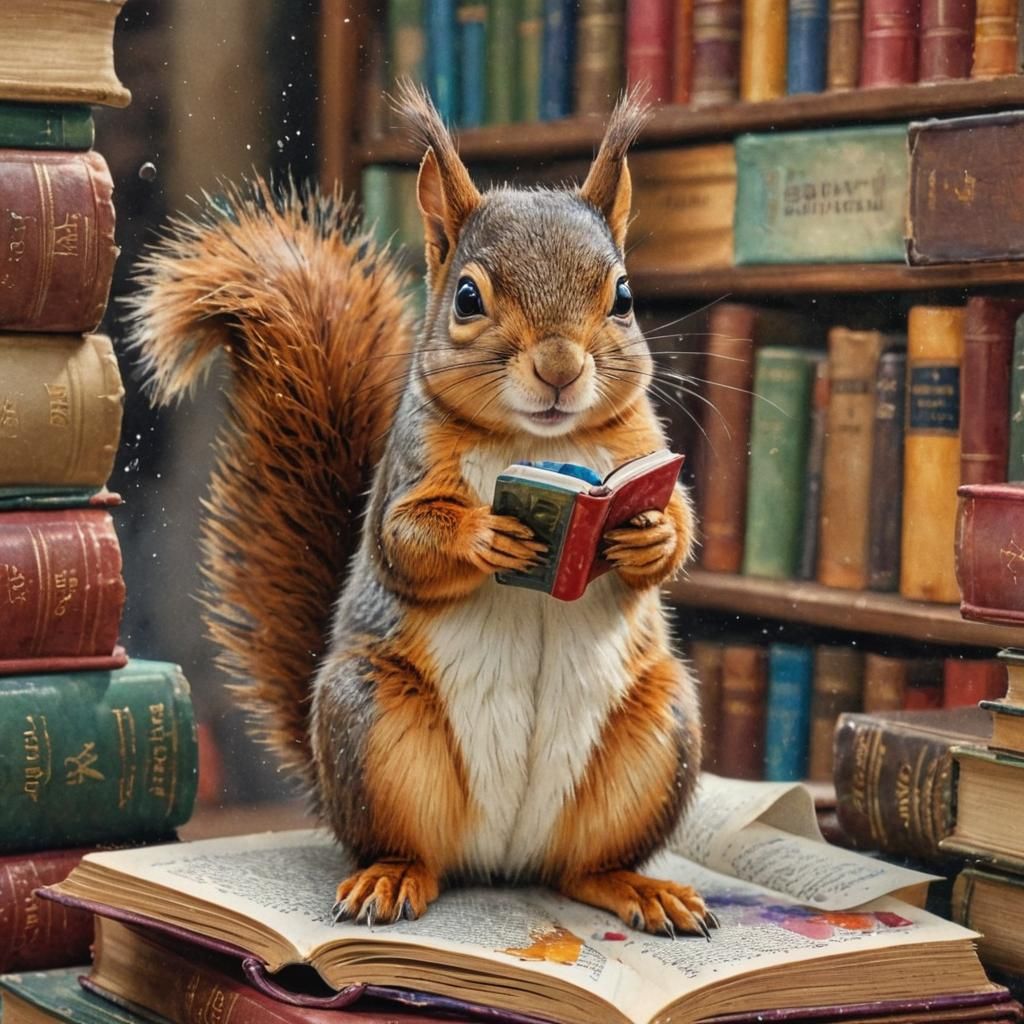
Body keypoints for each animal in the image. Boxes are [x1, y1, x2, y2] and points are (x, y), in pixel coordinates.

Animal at [126, 83, 714, 939]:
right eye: (467, 297)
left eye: (625, 297)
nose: (560, 367)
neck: (536, 442)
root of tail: (505, 861)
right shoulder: (404, 471)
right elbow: (404, 542)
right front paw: (487, 533)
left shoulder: (646, 450)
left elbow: (682, 528)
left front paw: (650, 533)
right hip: (372, 725)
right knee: (410, 849)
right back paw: (390, 878)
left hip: (660, 734)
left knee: (583, 868)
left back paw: (640, 889)